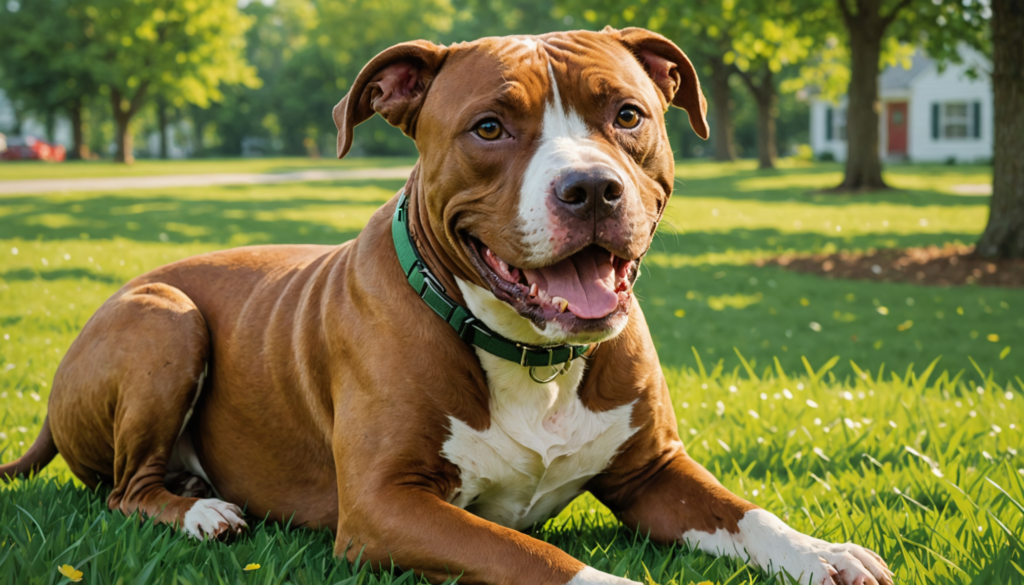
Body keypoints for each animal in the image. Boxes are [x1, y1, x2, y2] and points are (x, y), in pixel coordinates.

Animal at [0, 29, 892, 585]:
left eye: (628, 115)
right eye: (489, 127)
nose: (591, 187)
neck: (530, 353)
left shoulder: (655, 471)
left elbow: (751, 514)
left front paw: (823, 551)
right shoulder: (386, 505)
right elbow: (541, 558)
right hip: (163, 321)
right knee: (128, 487)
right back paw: (203, 512)